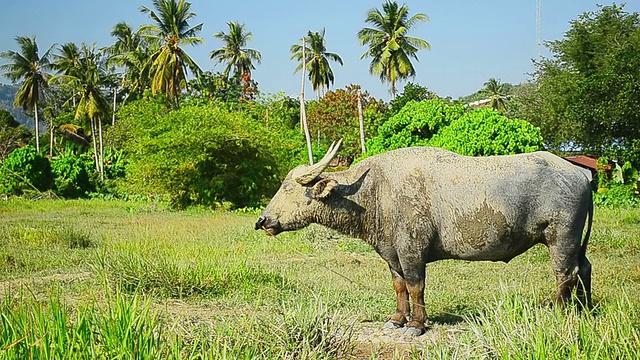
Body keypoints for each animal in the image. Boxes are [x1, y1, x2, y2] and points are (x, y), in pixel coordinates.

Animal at [252, 140, 592, 334]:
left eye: (288, 188)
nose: (262, 220)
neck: (375, 192)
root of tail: (581, 174)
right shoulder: (392, 256)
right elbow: (399, 287)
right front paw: (397, 319)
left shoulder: (412, 252)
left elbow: (416, 287)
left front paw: (416, 324)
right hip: (576, 242)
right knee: (585, 268)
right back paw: (586, 308)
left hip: (561, 238)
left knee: (565, 273)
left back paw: (560, 311)